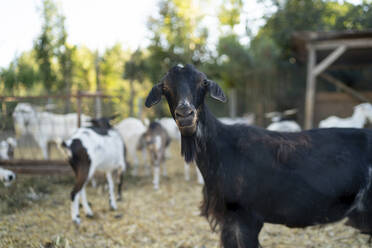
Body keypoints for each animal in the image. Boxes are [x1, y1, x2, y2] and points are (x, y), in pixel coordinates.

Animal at [145, 64, 372, 248]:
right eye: (165, 87)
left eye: (203, 82)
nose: (185, 114)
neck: (221, 148)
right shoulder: (228, 222)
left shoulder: (245, 218)